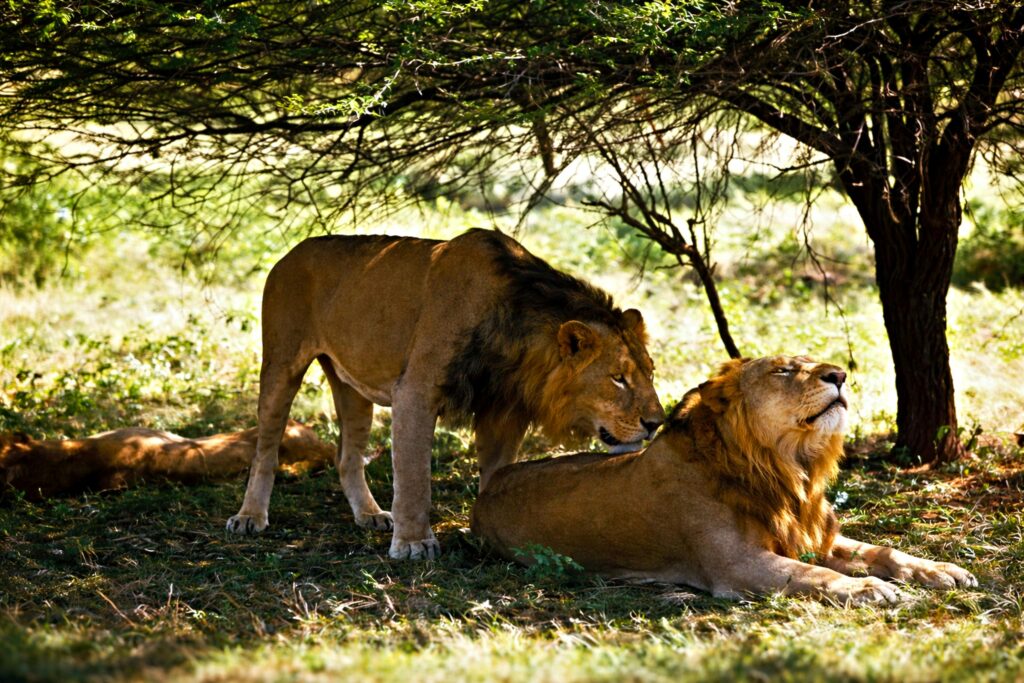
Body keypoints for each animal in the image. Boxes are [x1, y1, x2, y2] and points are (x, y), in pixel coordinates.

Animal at [226, 229, 665, 560]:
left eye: (650, 371)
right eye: (618, 378)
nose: (656, 423)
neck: (518, 330)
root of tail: (293, 250)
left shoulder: (503, 409)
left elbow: (496, 473)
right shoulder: (415, 392)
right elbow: (415, 477)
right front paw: (414, 543)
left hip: (352, 386)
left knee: (347, 458)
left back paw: (370, 514)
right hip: (281, 364)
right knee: (265, 450)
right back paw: (250, 517)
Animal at [472, 356, 977, 604]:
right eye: (783, 370)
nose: (840, 375)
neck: (786, 468)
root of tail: (488, 487)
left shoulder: (814, 535)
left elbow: (884, 551)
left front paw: (941, 569)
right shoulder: (737, 565)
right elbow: (812, 573)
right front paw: (868, 588)